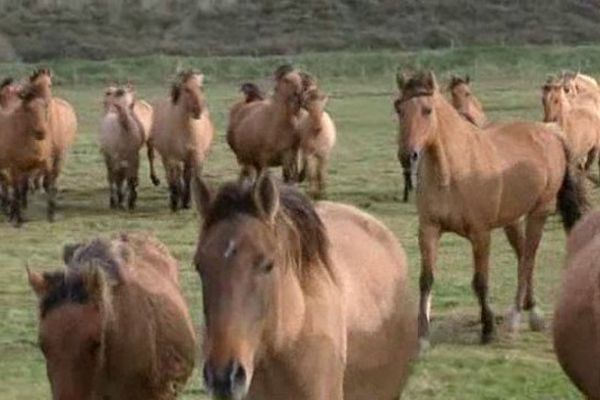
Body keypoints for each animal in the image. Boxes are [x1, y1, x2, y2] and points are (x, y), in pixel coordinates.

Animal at [149, 70, 214, 211]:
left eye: (201, 88)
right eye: (187, 89)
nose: (198, 110)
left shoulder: (195, 155)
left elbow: (190, 176)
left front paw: (187, 202)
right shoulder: (172, 157)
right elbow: (175, 178)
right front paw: (175, 201)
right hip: (167, 156)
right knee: (171, 174)